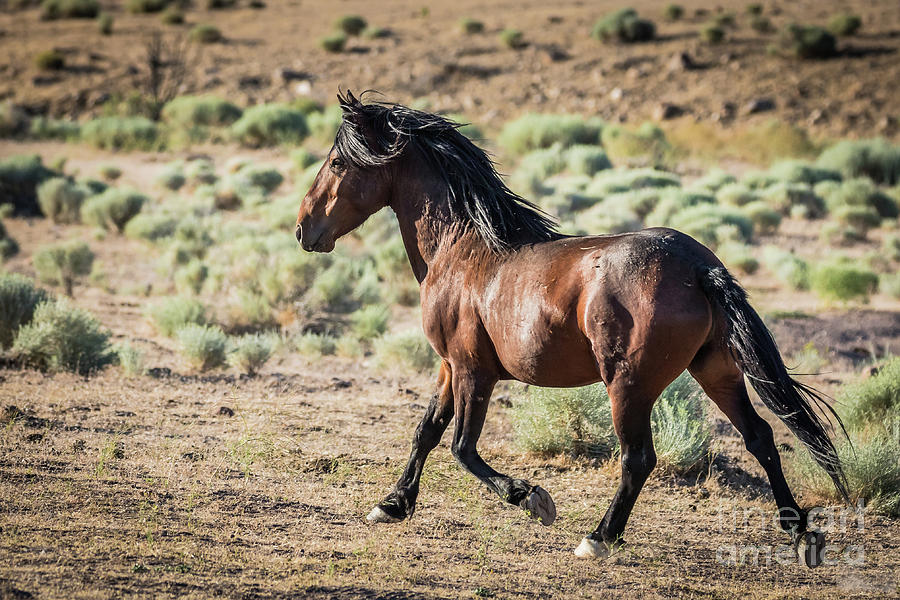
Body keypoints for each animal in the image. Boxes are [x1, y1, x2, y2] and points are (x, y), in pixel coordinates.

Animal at [298, 90, 852, 568]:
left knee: (638, 458)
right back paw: (801, 534)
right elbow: (427, 431)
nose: (305, 228)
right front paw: (392, 504)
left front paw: (532, 498)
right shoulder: (449, 366)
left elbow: (462, 448)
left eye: (338, 163)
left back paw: (599, 537)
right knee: (760, 437)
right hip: (715, 369)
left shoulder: (474, 371)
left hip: (628, 383)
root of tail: (699, 265)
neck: (460, 247)